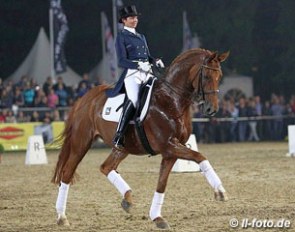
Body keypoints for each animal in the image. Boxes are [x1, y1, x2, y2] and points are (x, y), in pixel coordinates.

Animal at [52, 48, 230, 229]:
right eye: (206, 76)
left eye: (220, 76)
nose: (212, 109)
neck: (171, 100)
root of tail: (85, 98)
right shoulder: (169, 146)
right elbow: (199, 156)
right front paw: (220, 192)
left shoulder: (170, 152)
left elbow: (162, 184)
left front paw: (157, 217)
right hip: (81, 143)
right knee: (67, 173)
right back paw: (61, 217)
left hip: (123, 147)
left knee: (106, 167)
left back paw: (127, 199)